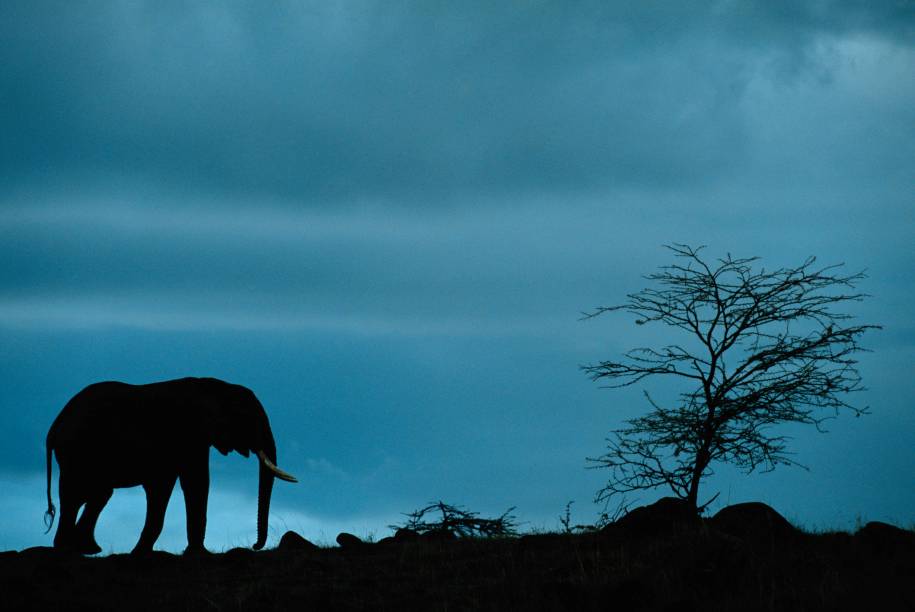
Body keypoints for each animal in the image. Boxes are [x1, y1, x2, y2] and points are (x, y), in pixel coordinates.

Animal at [43, 378, 296, 556]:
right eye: (247, 418)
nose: (255, 545)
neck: (215, 387)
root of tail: (56, 422)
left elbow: (171, 486)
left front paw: (144, 552)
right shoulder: (187, 435)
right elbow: (194, 482)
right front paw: (196, 553)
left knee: (98, 494)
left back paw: (86, 549)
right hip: (76, 450)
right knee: (75, 495)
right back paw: (66, 549)